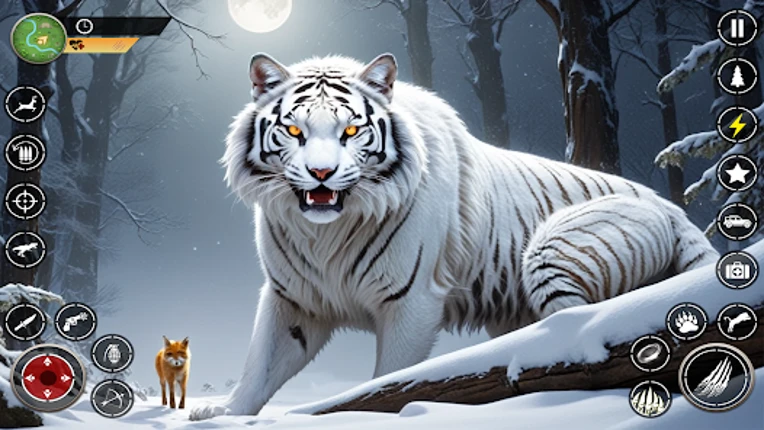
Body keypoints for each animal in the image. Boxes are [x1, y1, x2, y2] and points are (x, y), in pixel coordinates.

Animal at [189, 53, 718, 420]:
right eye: (295, 130)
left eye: (352, 131)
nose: (322, 173)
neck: (326, 232)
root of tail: (672, 208)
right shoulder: (295, 298)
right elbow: (261, 361)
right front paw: (222, 414)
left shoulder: (411, 299)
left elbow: (390, 373)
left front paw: (373, 410)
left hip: (551, 253)